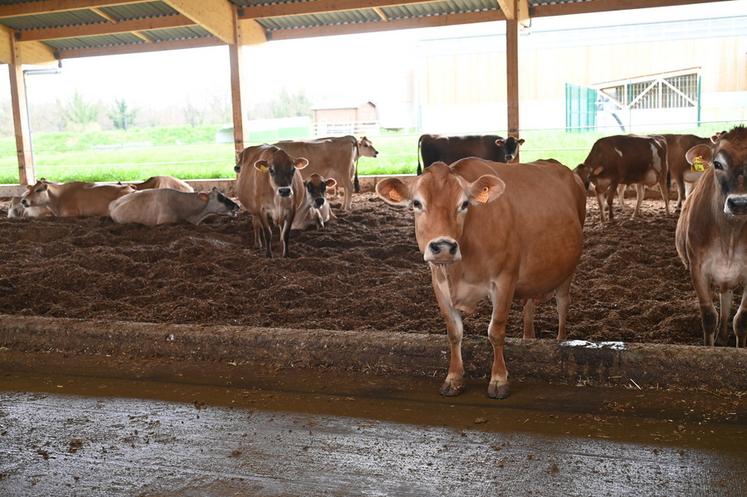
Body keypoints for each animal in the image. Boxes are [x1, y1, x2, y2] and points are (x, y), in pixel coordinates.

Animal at [235, 136, 378, 212]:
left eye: (242, 158)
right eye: (238, 157)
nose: (236, 167)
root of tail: (347, 137)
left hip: (344, 172)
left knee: (349, 187)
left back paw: (346, 207)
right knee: (347, 188)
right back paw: (343, 206)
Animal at [376, 159, 585, 399]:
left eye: (464, 203)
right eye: (417, 203)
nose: (443, 247)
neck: (459, 270)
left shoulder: (504, 280)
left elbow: (496, 331)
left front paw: (499, 380)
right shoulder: (438, 284)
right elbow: (454, 332)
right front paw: (453, 378)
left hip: (568, 270)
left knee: (562, 304)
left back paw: (561, 341)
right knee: (529, 306)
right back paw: (528, 338)